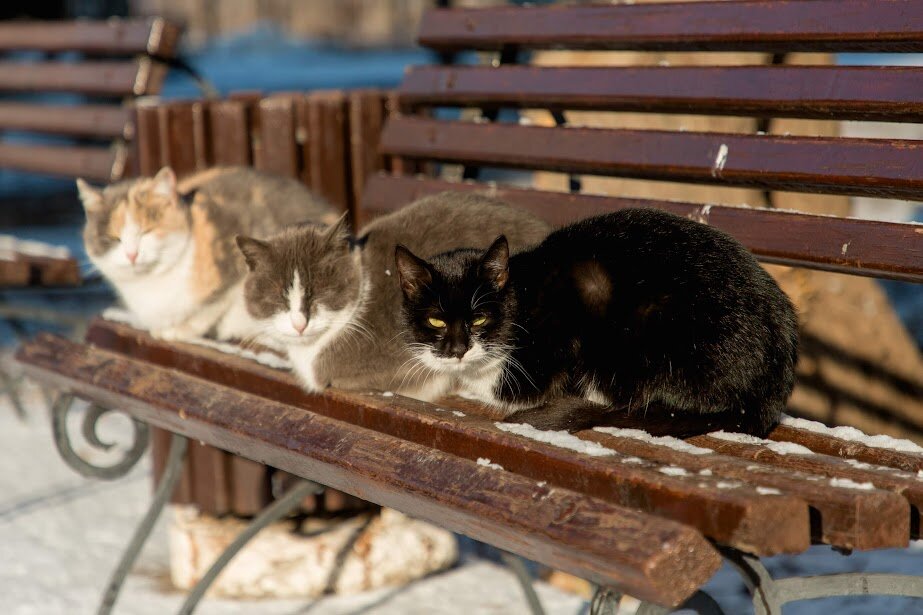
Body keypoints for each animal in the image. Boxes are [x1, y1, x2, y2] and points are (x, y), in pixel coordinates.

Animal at [79, 166, 338, 342]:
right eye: (113, 238)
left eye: (147, 231)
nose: (132, 254)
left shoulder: (235, 266)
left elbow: (209, 308)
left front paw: (178, 330)